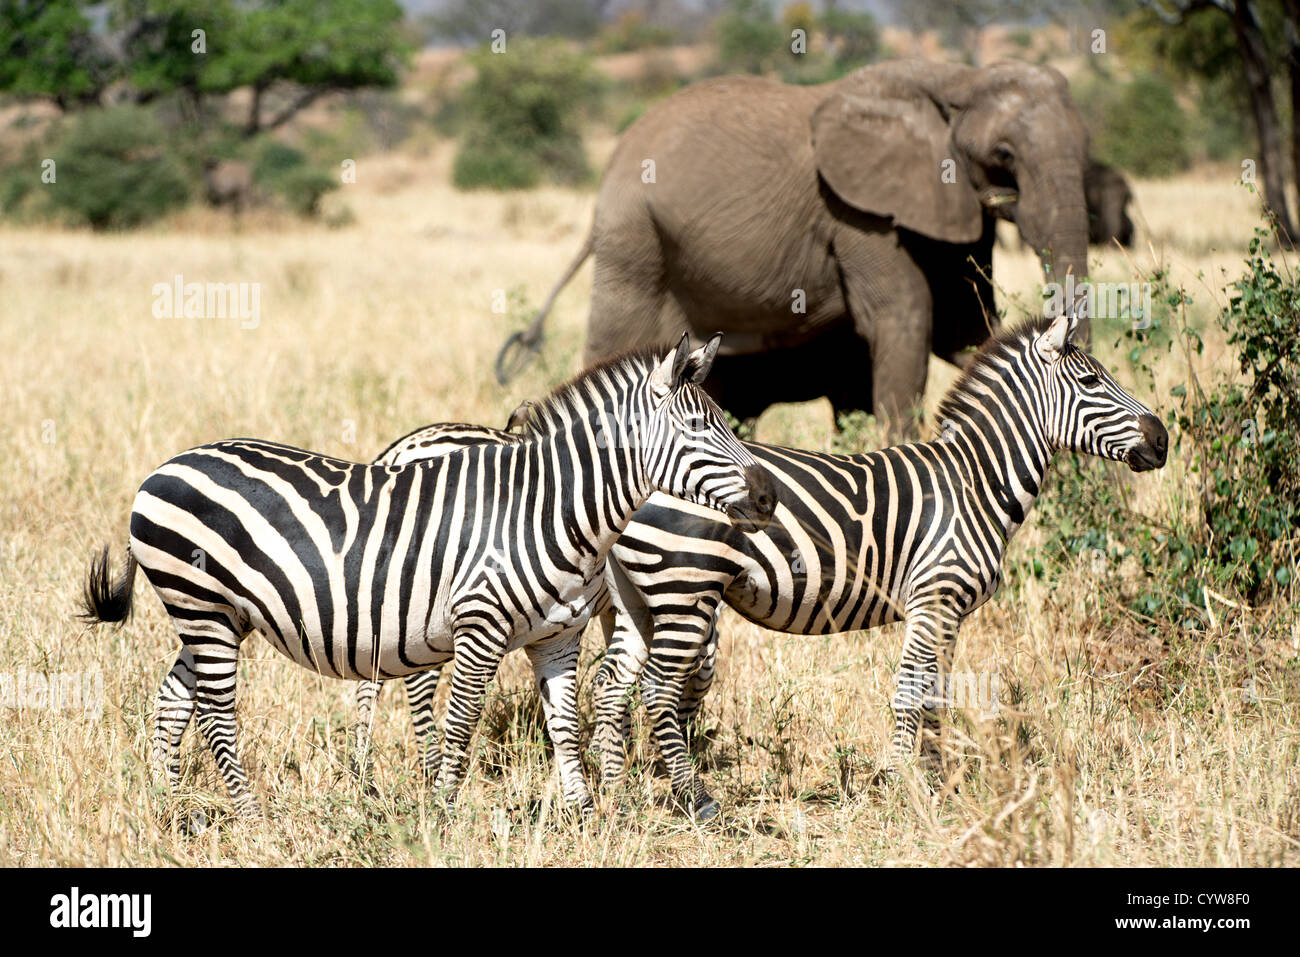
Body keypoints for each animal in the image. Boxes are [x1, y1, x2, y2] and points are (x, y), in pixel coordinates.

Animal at [496, 59, 1091, 435]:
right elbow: (905, 322)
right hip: (635, 237)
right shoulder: (856, 213)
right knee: (614, 342)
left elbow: (966, 328)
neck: (959, 77)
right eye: (1004, 155)